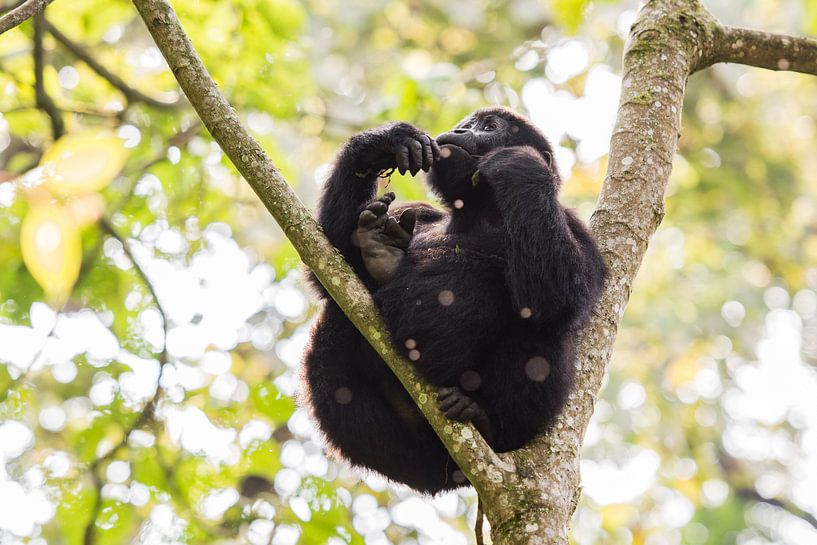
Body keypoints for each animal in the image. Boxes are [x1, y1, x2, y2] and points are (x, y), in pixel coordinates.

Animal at [300, 106, 604, 492]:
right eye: (467, 123)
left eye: (489, 127)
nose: (460, 130)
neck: (479, 213)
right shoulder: (419, 212)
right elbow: (330, 268)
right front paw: (382, 144)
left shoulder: (578, 231)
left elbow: (557, 301)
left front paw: (522, 167)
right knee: (337, 318)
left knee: (540, 332)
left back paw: (485, 423)